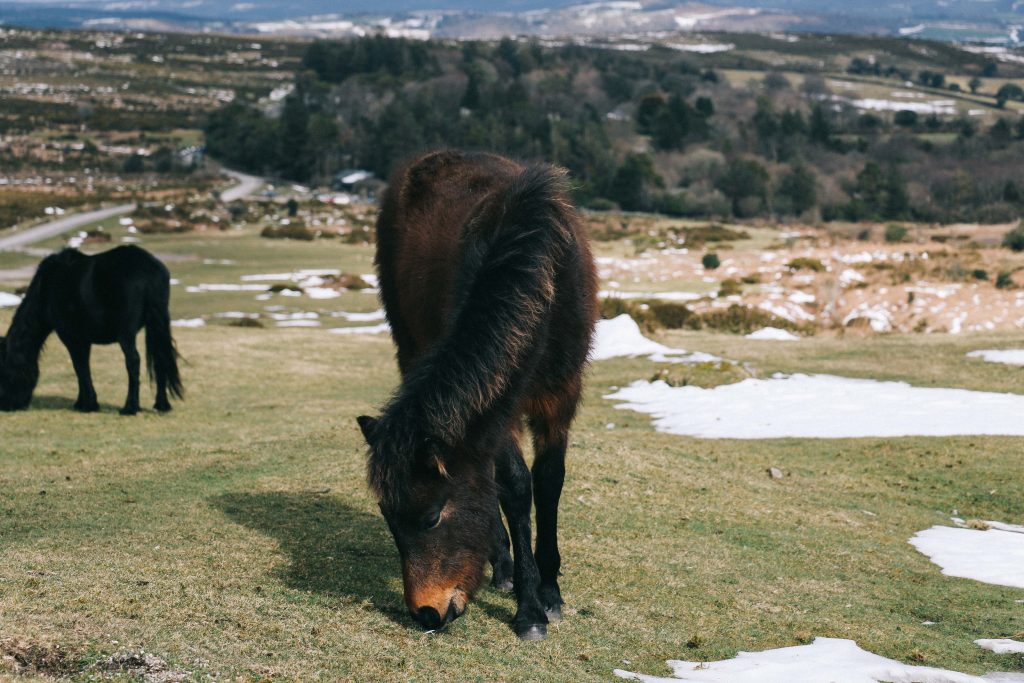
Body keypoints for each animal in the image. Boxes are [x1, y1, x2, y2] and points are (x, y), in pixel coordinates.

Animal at [0, 246, 182, 417]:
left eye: (4, 371)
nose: (6, 406)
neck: (47, 288)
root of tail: (148, 267)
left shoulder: (71, 337)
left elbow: (80, 367)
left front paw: (88, 404)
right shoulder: (83, 339)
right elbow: (83, 367)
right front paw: (82, 402)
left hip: (126, 334)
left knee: (133, 361)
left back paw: (130, 407)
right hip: (156, 326)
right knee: (160, 359)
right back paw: (161, 405)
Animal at [360, 150, 598, 643]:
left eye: (431, 518)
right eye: (389, 521)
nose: (426, 614)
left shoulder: (561, 397)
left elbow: (547, 482)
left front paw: (548, 592)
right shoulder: (500, 408)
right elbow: (514, 486)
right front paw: (528, 603)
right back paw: (503, 565)